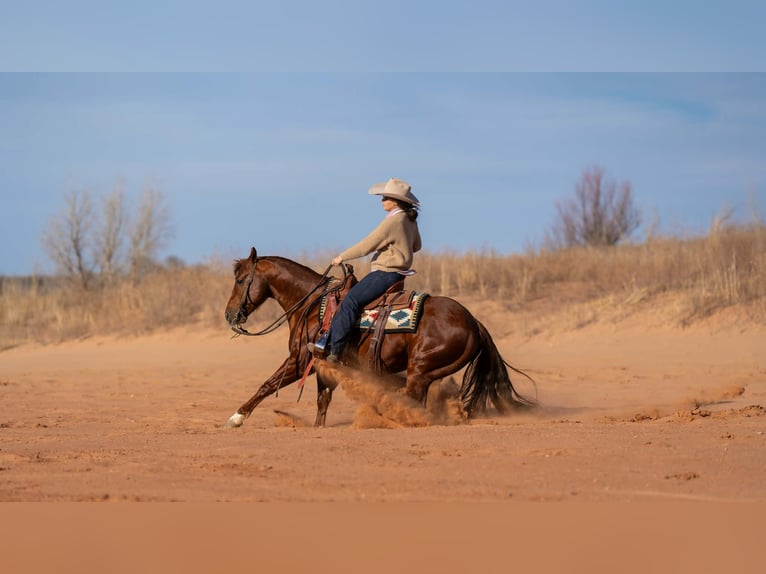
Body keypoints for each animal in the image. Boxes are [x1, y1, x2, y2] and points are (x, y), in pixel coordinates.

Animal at [223, 247, 534, 428]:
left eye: (240, 280)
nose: (229, 315)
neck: (311, 304)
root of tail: (474, 322)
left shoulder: (301, 361)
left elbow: (266, 385)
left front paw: (236, 418)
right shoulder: (322, 366)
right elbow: (322, 401)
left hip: (420, 368)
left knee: (410, 399)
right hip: (426, 372)